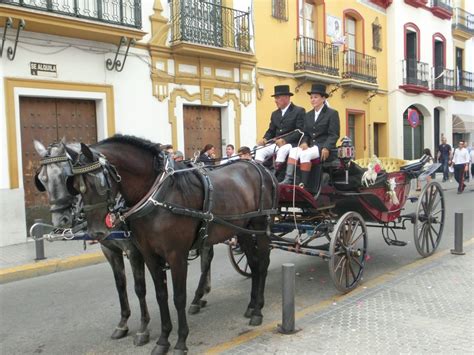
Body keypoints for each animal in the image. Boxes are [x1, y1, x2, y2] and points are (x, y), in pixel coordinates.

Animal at [66, 138, 278, 355]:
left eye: (100, 183)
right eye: (75, 185)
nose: (96, 232)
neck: (159, 197)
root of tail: (258, 167)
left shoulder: (177, 255)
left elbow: (179, 297)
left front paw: (181, 341)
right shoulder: (149, 255)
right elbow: (161, 295)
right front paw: (163, 340)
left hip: (261, 227)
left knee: (262, 265)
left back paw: (258, 310)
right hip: (243, 230)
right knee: (253, 264)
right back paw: (251, 306)